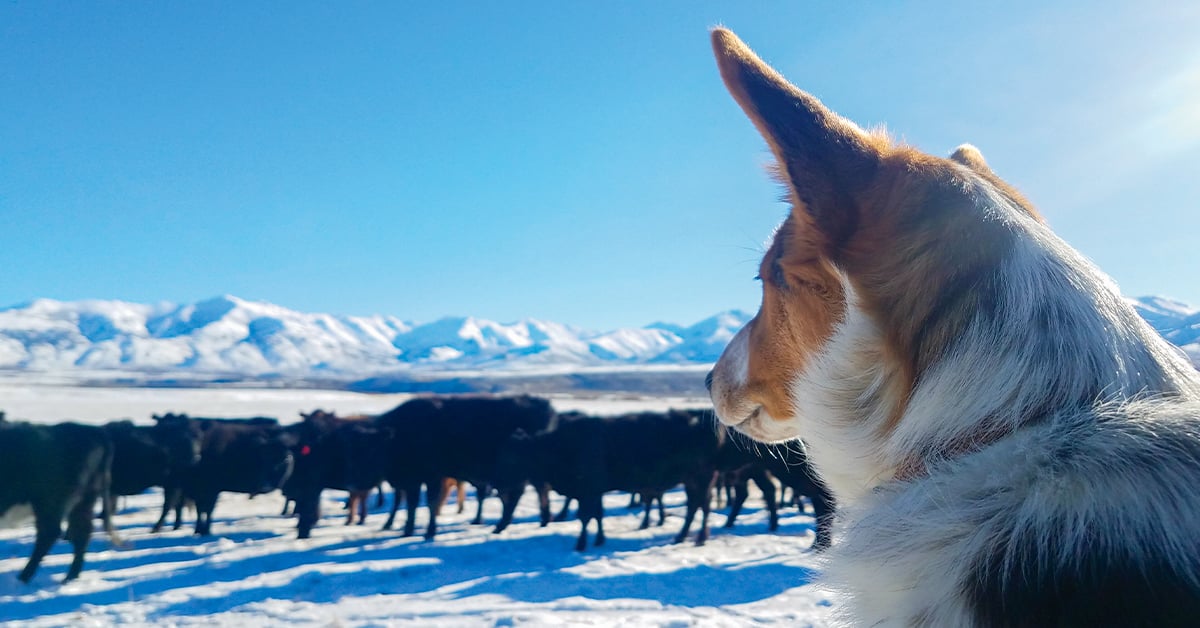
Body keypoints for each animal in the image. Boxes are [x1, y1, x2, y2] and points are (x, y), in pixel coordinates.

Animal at [0, 420, 121, 583]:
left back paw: (23, 578)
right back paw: (70, 577)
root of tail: (92, 431)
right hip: (84, 500)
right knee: (82, 531)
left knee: (49, 533)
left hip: (50, 501)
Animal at [149, 413, 292, 535]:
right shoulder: (194, 489)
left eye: (198, 437)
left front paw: (205, 530)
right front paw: (198, 530)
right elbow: (199, 509)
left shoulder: (212, 489)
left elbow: (208, 509)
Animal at [374, 398, 556, 540]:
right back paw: (541, 520)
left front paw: (428, 533)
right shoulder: (414, 482)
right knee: (533, 492)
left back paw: (502, 526)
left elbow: (429, 503)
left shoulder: (429, 478)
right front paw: (407, 531)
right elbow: (412, 505)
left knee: (519, 495)